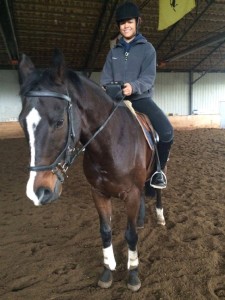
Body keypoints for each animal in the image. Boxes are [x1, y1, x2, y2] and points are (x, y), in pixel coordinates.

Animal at [18, 50, 165, 292]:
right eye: (22, 122)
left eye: (59, 122)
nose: (38, 192)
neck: (111, 144)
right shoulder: (98, 193)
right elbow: (105, 232)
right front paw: (107, 271)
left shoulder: (131, 194)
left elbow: (131, 235)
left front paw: (133, 274)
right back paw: (142, 219)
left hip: (156, 170)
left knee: (157, 190)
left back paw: (160, 217)